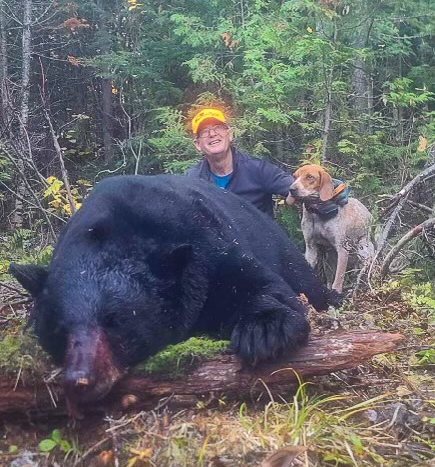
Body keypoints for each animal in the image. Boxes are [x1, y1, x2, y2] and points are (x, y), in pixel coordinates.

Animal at [9, 176, 330, 406]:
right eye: (59, 329)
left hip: (286, 252)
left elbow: (260, 284)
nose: (80, 379)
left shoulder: (209, 248)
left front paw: (264, 330)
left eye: (116, 321)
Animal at [288, 165, 376, 294]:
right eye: (294, 176)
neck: (316, 213)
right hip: (329, 257)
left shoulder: (342, 249)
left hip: (363, 251)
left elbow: (338, 280)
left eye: (310, 177)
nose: (291, 189)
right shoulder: (310, 248)